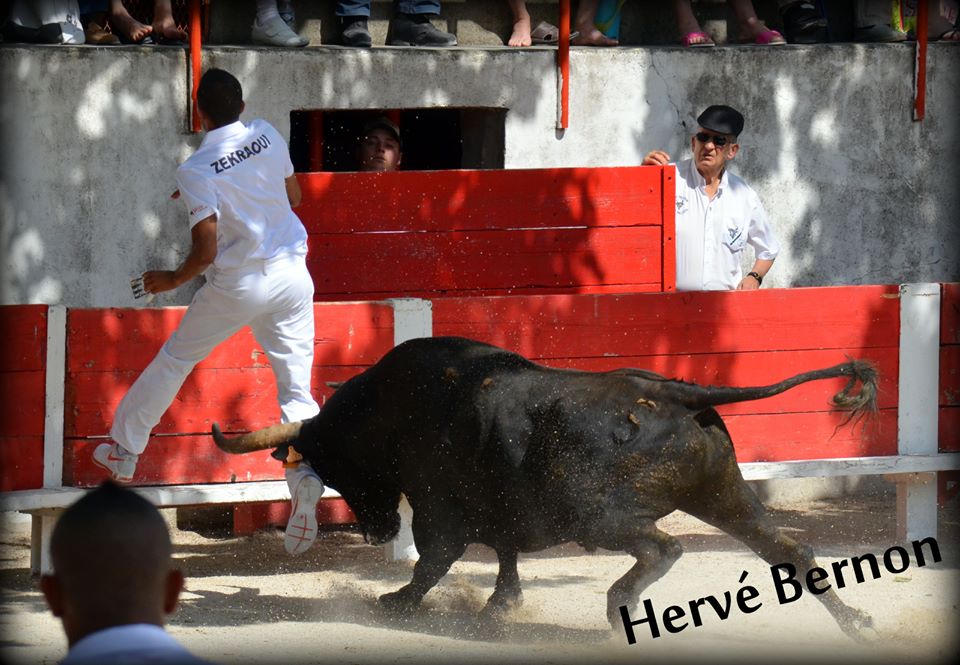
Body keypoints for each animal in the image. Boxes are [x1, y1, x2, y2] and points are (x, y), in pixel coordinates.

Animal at [216, 338, 876, 640]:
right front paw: (500, 604)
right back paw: (858, 622)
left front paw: (398, 601)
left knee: (664, 548)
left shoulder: (437, 507)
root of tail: (676, 392)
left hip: (601, 515)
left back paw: (616, 609)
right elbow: (504, 552)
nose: (376, 531)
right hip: (723, 493)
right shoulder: (501, 504)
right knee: (791, 550)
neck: (392, 409)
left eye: (340, 468)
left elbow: (436, 558)